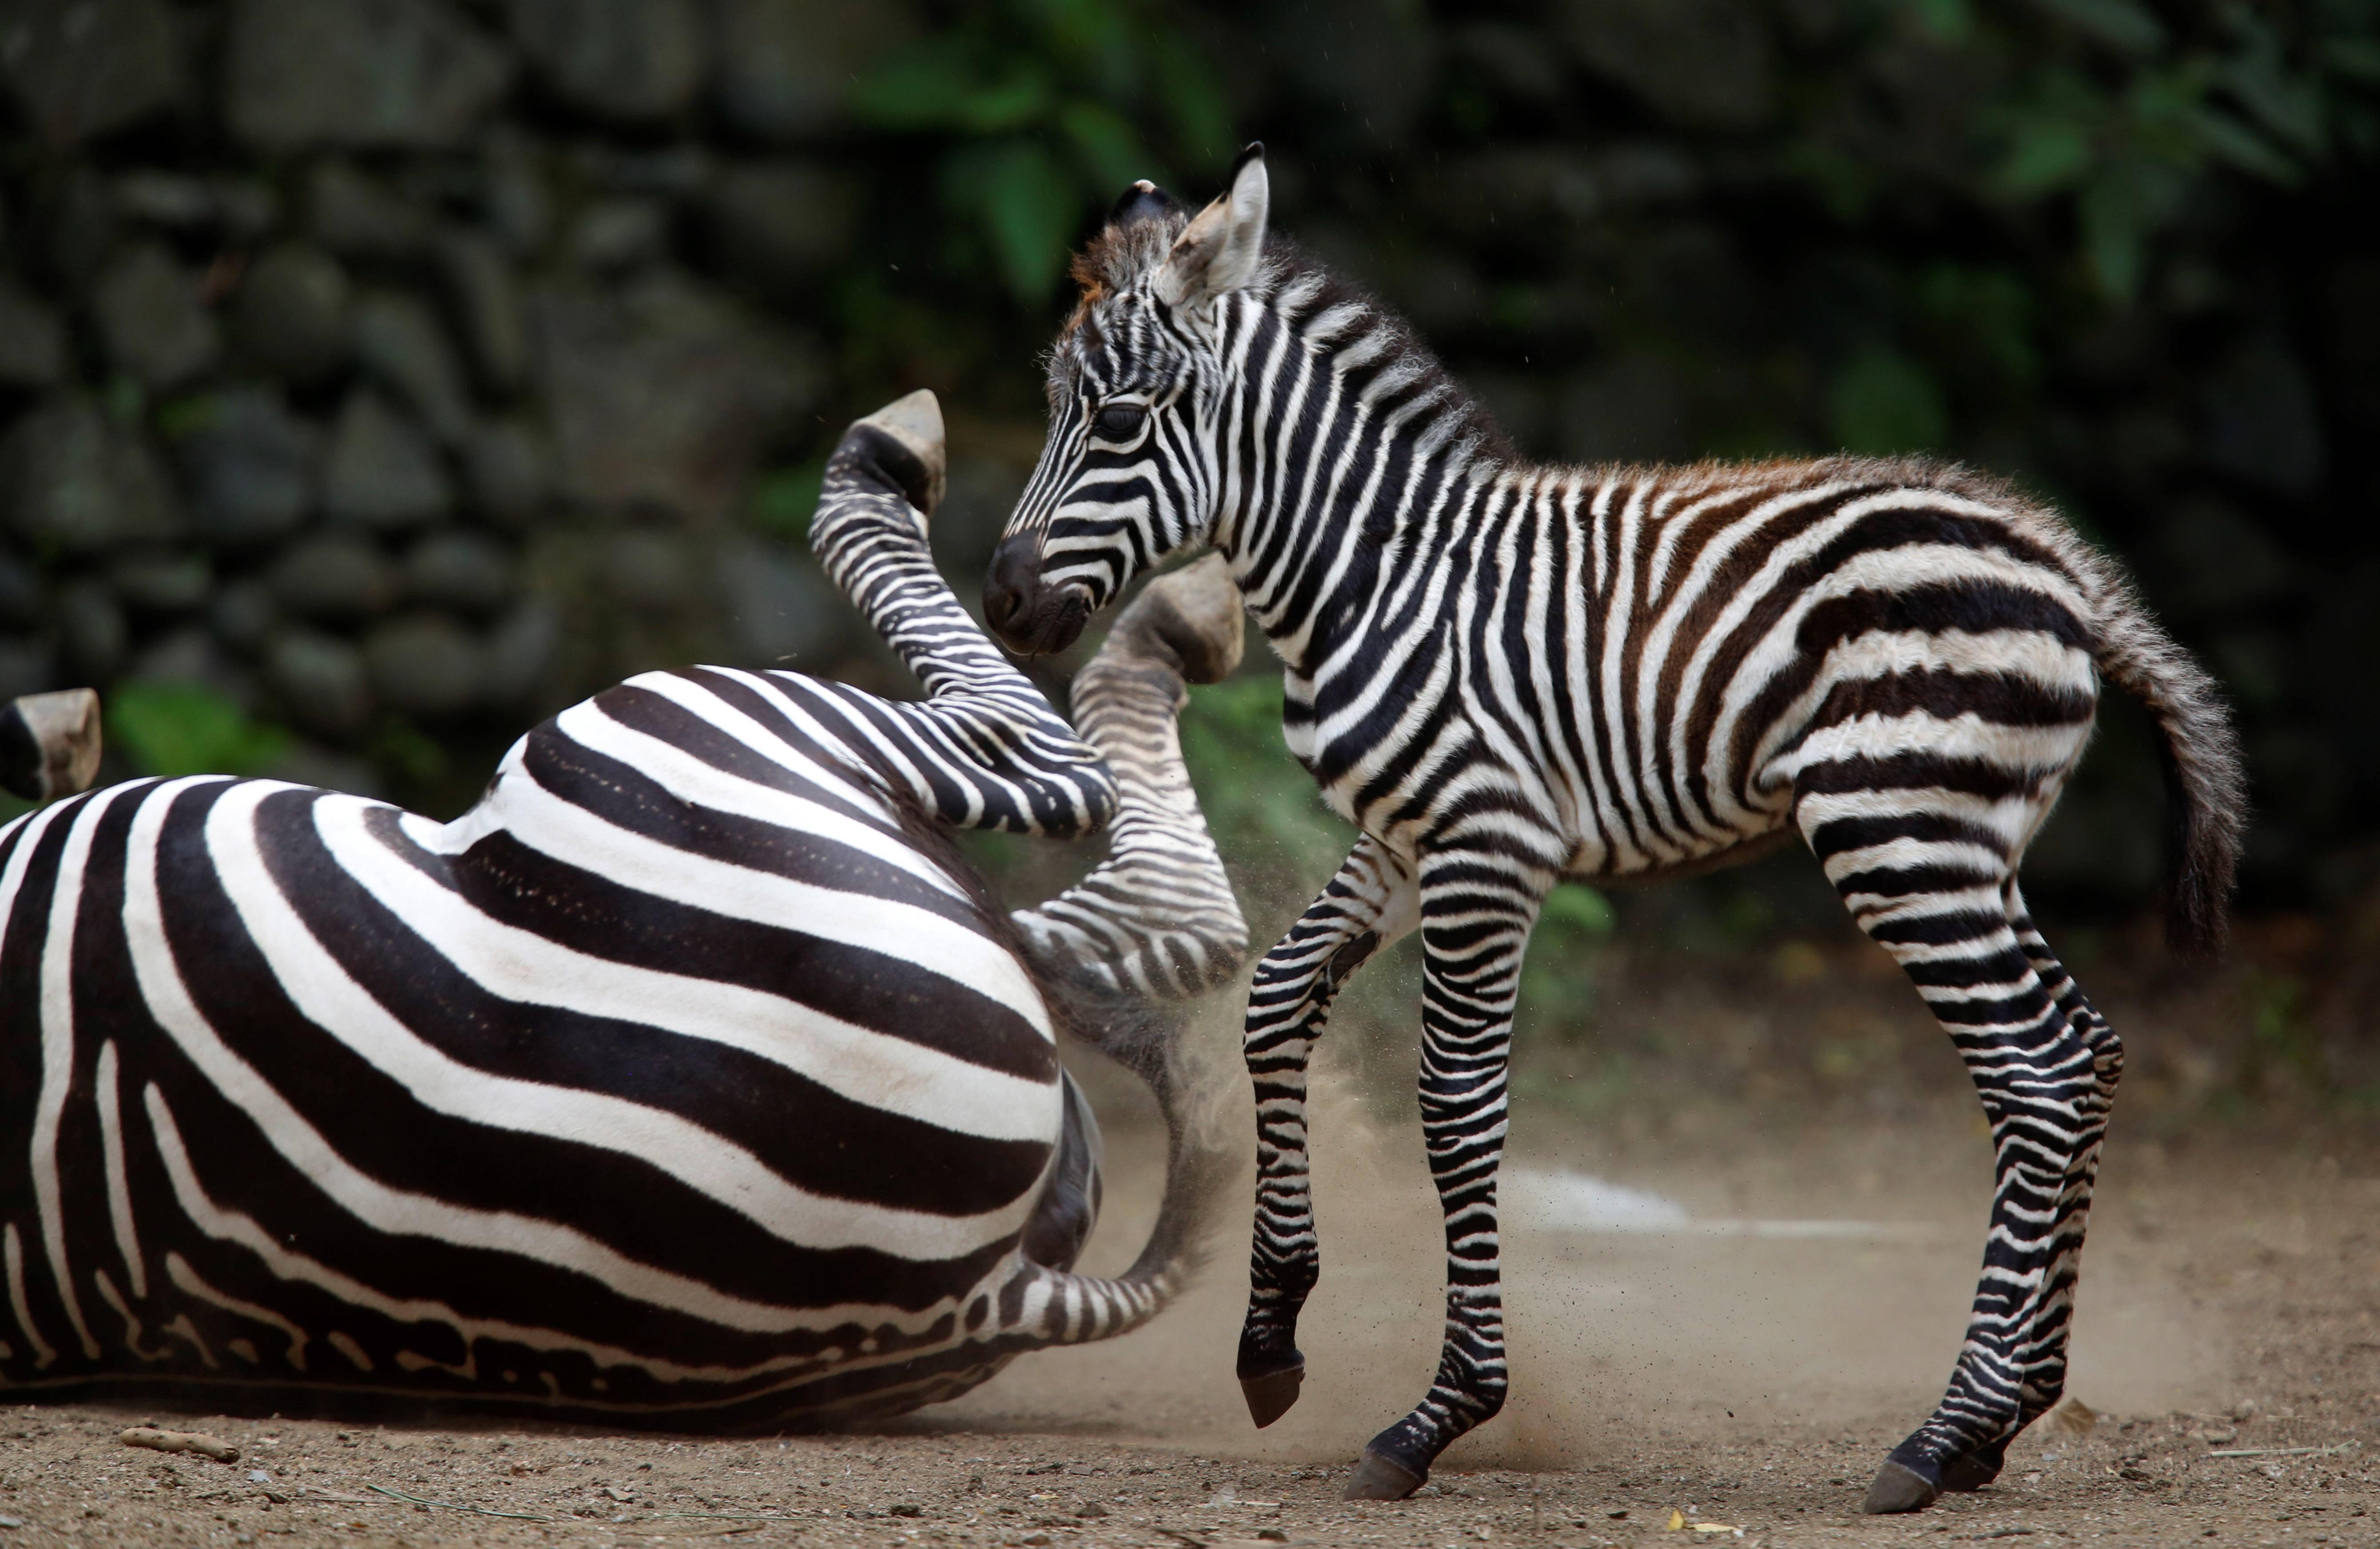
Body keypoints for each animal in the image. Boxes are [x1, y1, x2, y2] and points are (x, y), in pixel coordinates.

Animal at [0, 397, 1257, 1427]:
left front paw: (54, 733)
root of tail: (982, 1296)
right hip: (683, 735)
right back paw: (1066, 563)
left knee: (1108, 926)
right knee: (1091, 817)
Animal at [976, 151, 2237, 1513]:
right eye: (1054, 408)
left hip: (1898, 836)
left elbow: (1455, 1106)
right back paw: (2009, 1414)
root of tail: (2061, 561)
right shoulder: (1405, 839)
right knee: (2089, 1049)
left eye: (1115, 422)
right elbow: (1274, 1004)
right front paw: (1270, 1337)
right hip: (1968, 849)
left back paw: (1938, 1434)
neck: (1375, 575)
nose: (1003, 601)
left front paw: (1439, 1416)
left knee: (2036, 1073)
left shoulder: (1486, 846)